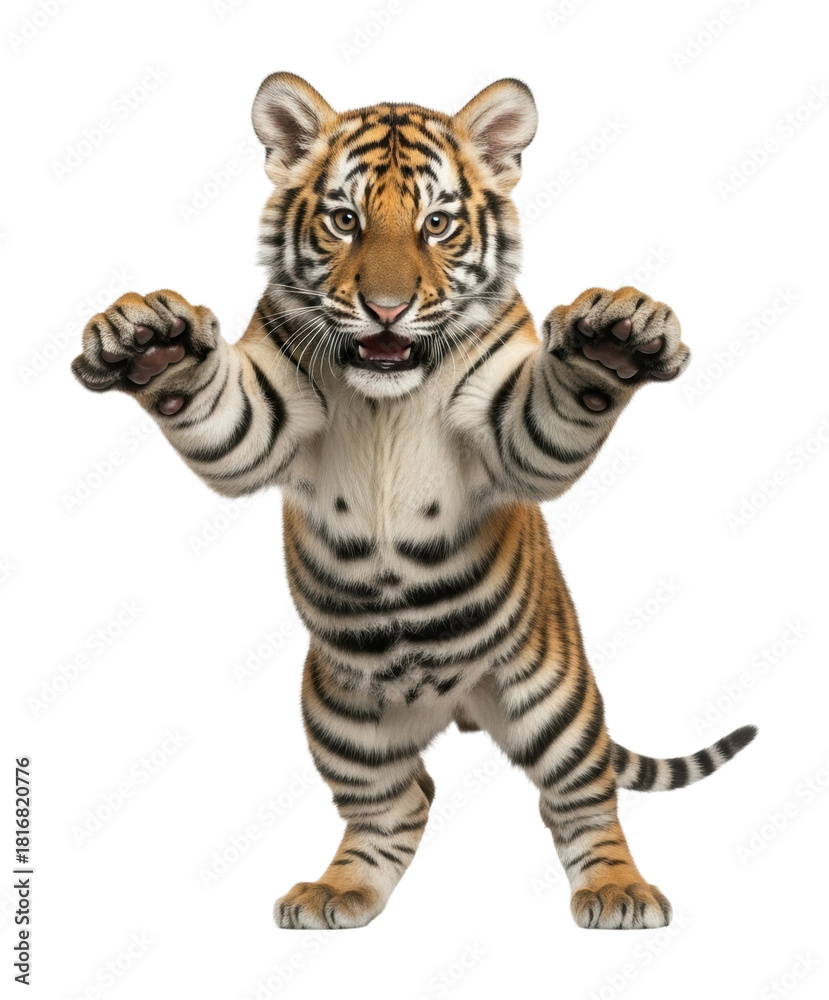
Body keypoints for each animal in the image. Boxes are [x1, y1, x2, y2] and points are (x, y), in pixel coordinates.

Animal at [71, 72, 757, 931]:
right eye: (345, 220)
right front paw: (148, 338)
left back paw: (616, 889)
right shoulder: (261, 417)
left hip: (555, 699)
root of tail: (457, 706)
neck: (384, 394)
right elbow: (213, 409)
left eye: (437, 224)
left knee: (583, 799)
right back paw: (338, 892)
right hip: (337, 717)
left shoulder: (512, 430)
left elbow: (560, 406)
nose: (388, 310)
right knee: (401, 801)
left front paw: (614, 334)